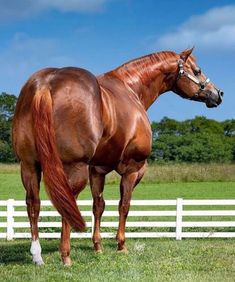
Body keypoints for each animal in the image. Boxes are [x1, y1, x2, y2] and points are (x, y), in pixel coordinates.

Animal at [11, 47, 223, 266]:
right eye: (197, 71)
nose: (218, 94)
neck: (131, 89)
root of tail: (47, 83)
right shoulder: (133, 169)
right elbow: (124, 206)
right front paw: (121, 245)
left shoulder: (97, 170)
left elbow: (98, 206)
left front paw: (98, 246)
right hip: (72, 168)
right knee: (66, 205)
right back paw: (66, 255)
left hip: (29, 166)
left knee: (34, 204)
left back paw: (37, 255)